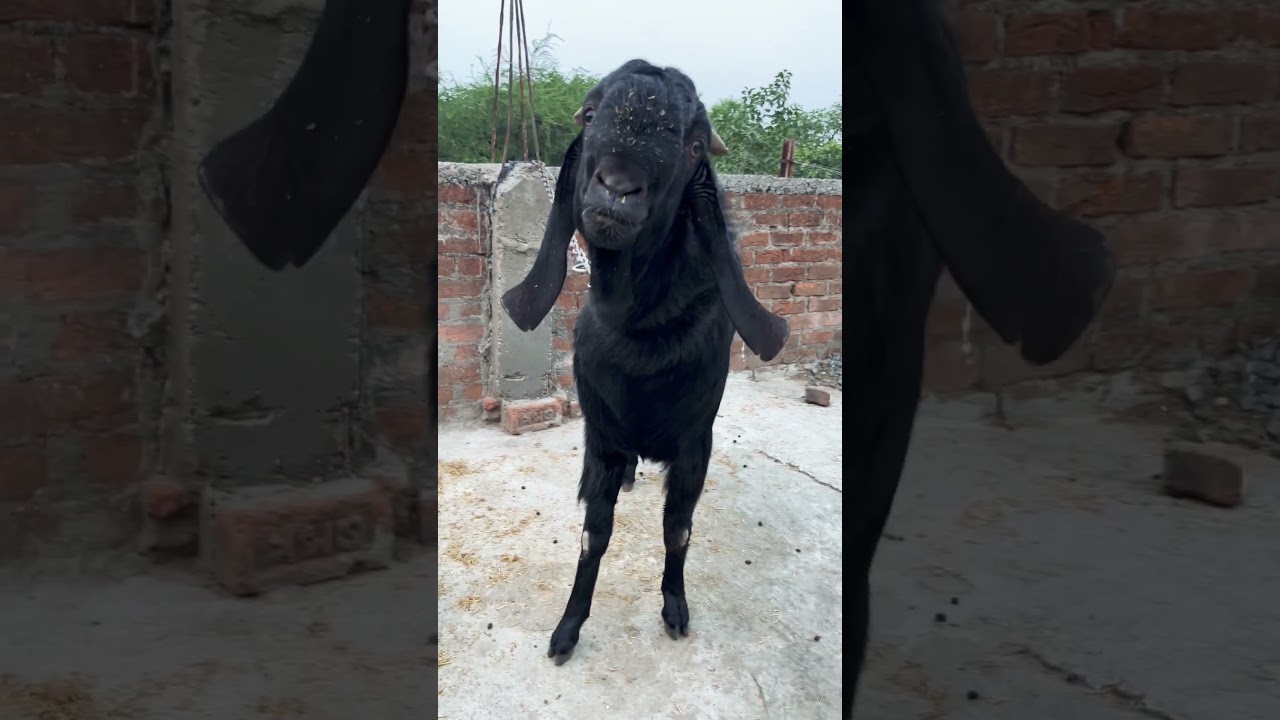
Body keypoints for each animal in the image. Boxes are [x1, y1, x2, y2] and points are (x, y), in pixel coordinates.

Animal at [500, 59, 791, 665]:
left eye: (694, 144)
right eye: (591, 115)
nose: (617, 188)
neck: (642, 337)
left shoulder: (695, 445)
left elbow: (677, 531)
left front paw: (675, 609)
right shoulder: (602, 441)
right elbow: (594, 535)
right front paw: (567, 630)